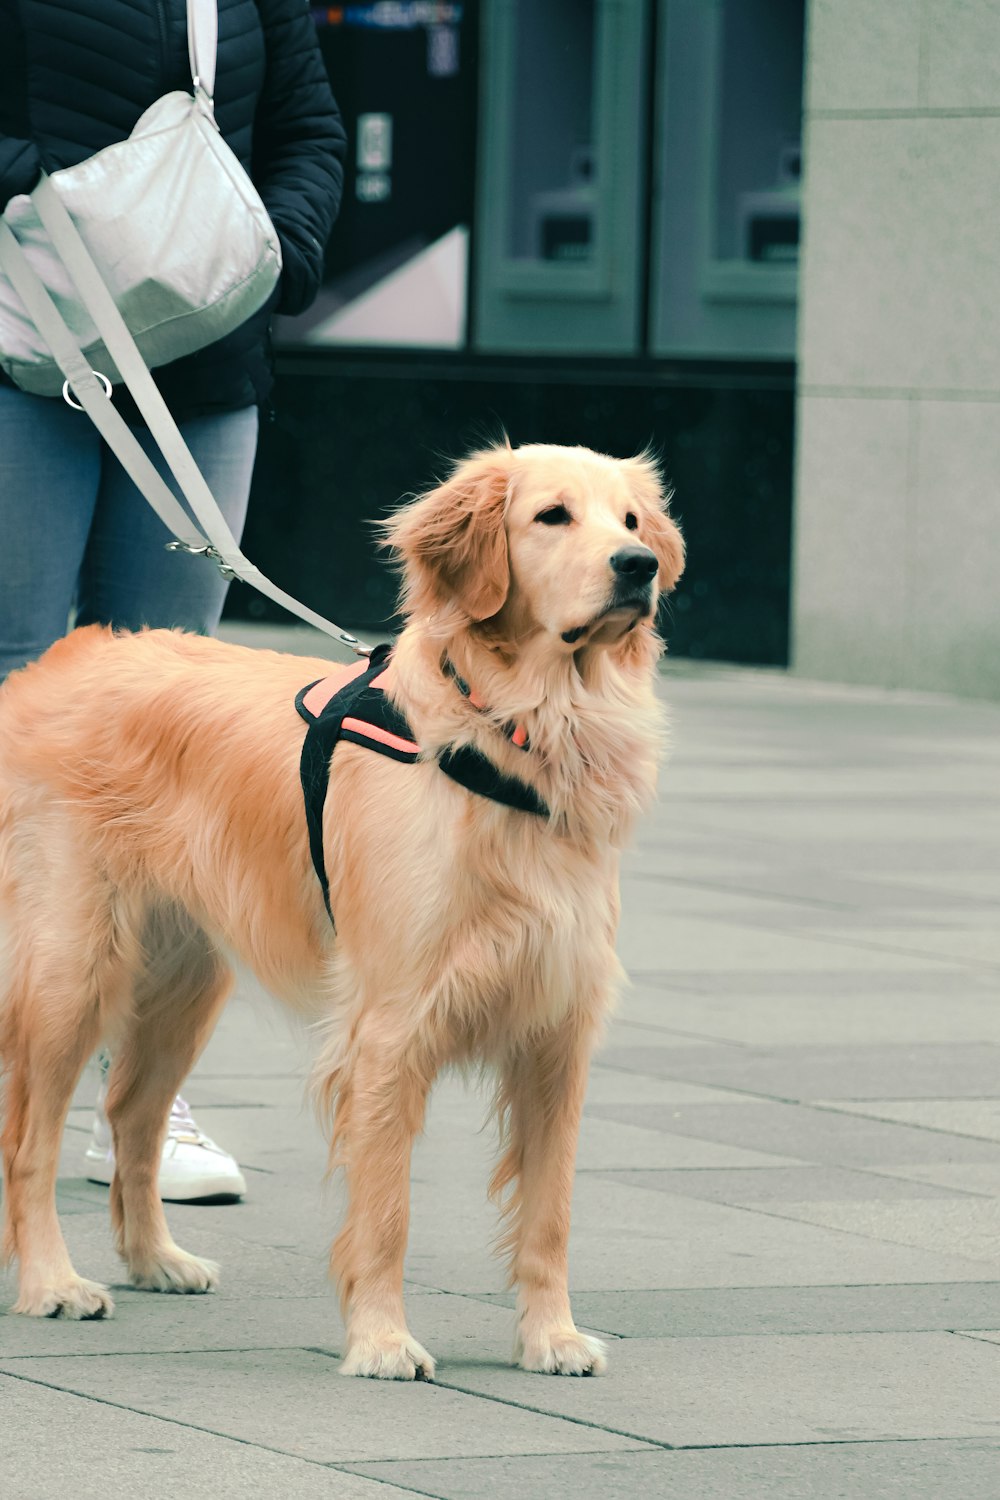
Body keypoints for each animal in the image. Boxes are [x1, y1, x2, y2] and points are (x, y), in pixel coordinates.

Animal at [0, 438, 680, 1374]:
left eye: (633, 520)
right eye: (553, 516)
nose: (638, 566)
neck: (508, 734)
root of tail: (54, 663)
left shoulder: (557, 1027)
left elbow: (551, 1212)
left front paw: (551, 1337)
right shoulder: (391, 1027)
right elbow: (387, 1212)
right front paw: (383, 1340)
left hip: (183, 982)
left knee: (130, 1116)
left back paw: (155, 1260)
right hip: (72, 967)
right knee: (30, 1144)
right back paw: (52, 1283)